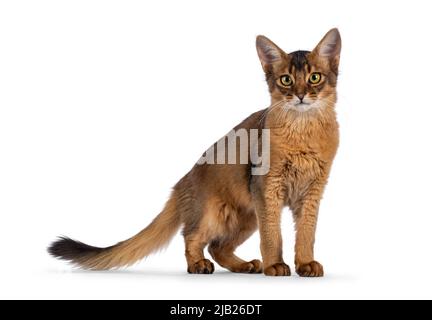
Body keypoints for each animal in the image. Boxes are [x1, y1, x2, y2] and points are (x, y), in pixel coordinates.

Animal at [49, 28, 340, 276]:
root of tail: (181, 184)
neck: (304, 133)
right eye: (286, 80)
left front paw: (305, 264)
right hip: (212, 213)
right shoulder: (267, 189)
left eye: (314, 77)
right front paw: (275, 266)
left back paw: (244, 266)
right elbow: (272, 236)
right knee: (192, 237)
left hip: (246, 217)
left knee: (217, 246)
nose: (300, 95)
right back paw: (198, 265)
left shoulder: (312, 192)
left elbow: (306, 234)